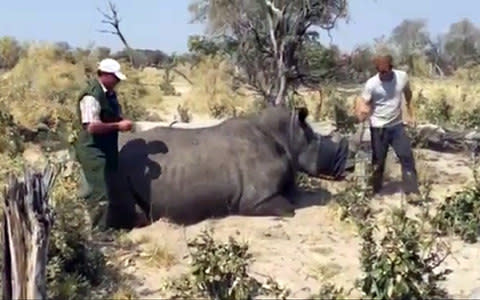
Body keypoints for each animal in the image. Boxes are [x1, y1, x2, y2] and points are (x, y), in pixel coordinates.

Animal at [106, 106, 352, 229]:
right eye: (325, 143)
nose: (350, 168)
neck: (289, 138)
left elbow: (295, 195)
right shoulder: (255, 200)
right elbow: (288, 208)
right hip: (117, 169)